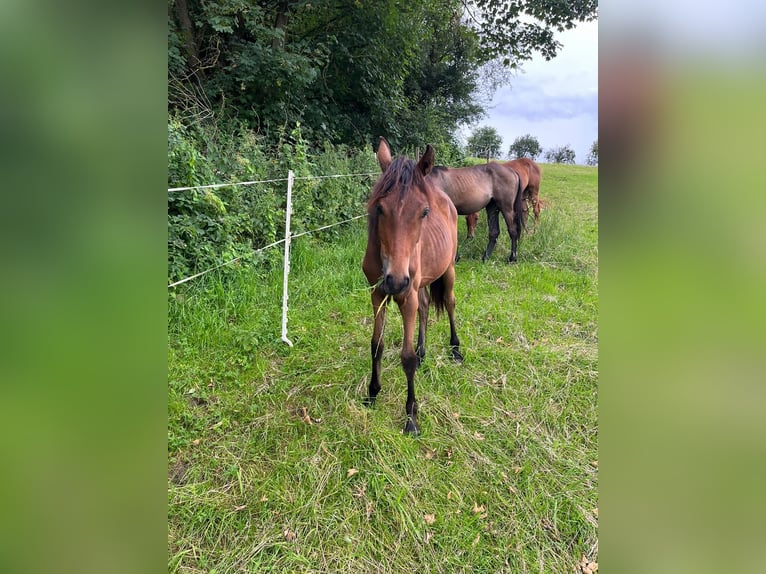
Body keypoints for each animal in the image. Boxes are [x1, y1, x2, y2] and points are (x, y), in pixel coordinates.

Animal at [364, 140, 464, 436]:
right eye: (380, 208)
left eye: (423, 212)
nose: (396, 280)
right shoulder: (378, 294)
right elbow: (376, 345)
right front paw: (372, 393)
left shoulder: (406, 296)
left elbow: (405, 358)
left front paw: (411, 418)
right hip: (419, 282)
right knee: (426, 306)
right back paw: (423, 351)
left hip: (447, 270)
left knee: (450, 303)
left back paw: (455, 349)